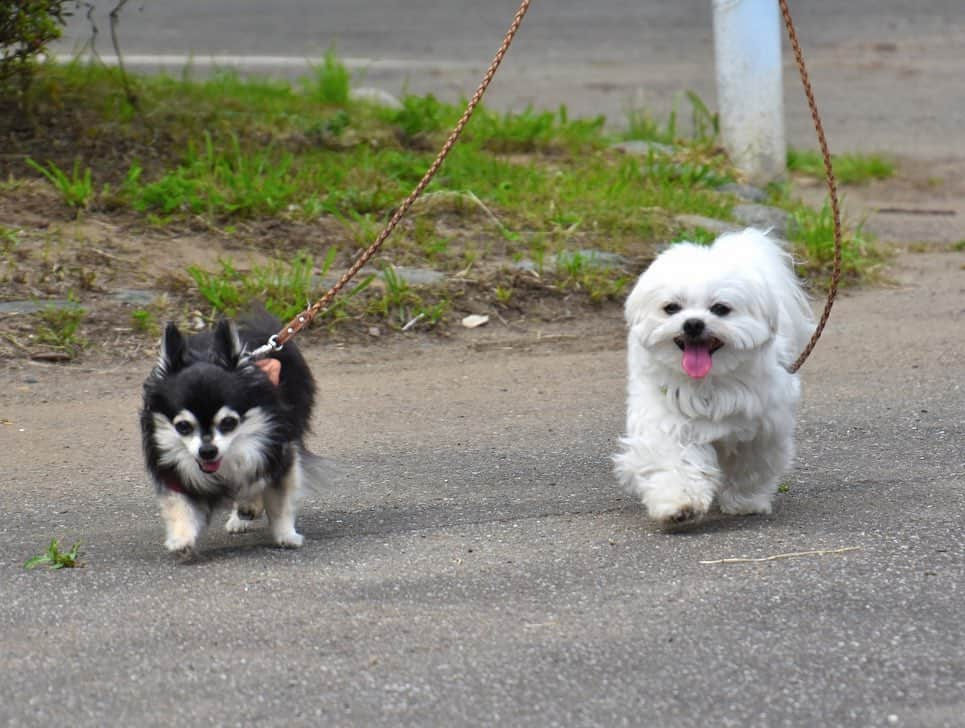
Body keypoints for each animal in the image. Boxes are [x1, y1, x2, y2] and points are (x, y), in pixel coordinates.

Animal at [140, 310, 320, 556]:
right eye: (183, 426)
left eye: (228, 423)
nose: (207, 451)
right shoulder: (174, 469)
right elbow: (180, 505)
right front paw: (182, 538)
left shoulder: (277, 453)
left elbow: (278, 501)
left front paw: (286, 535)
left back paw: (248, 507)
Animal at [612, 228, 812, 524]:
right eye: (671, 308)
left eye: (720, 308)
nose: (693, 323)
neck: (708, 383)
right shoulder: (667, 421)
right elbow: (673, 461)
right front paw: (678, 504)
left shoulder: (763, 428)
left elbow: (751, 467)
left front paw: (745, 501)